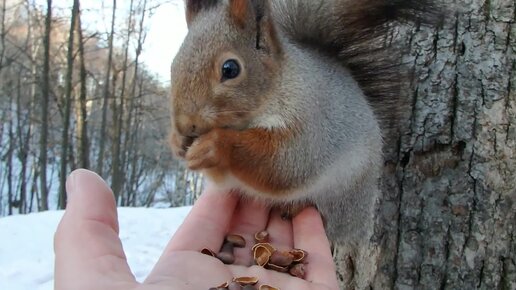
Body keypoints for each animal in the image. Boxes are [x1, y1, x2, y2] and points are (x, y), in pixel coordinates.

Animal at [167, 0, 438, 288]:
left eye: (230, 68)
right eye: (174, 65)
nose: (186, 125)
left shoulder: (309, 123)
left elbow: (284, 164)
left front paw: (214, 145)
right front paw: (177, 142)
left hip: (343, 197)